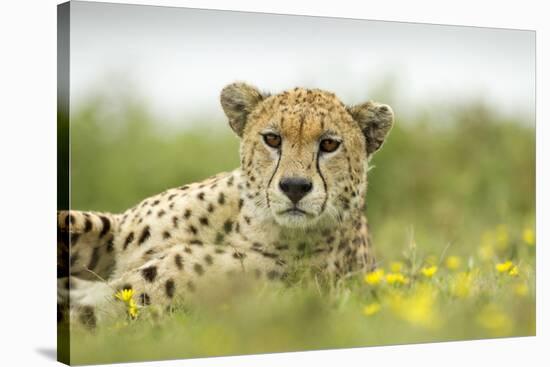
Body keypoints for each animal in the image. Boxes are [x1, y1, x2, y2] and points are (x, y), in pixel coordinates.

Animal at [58, 82, 394, 326]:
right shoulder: (115, 236)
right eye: (272, 139)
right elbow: (72, 225)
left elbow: (85, 316)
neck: (242, 224)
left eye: (329, 144)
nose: (295, 187)